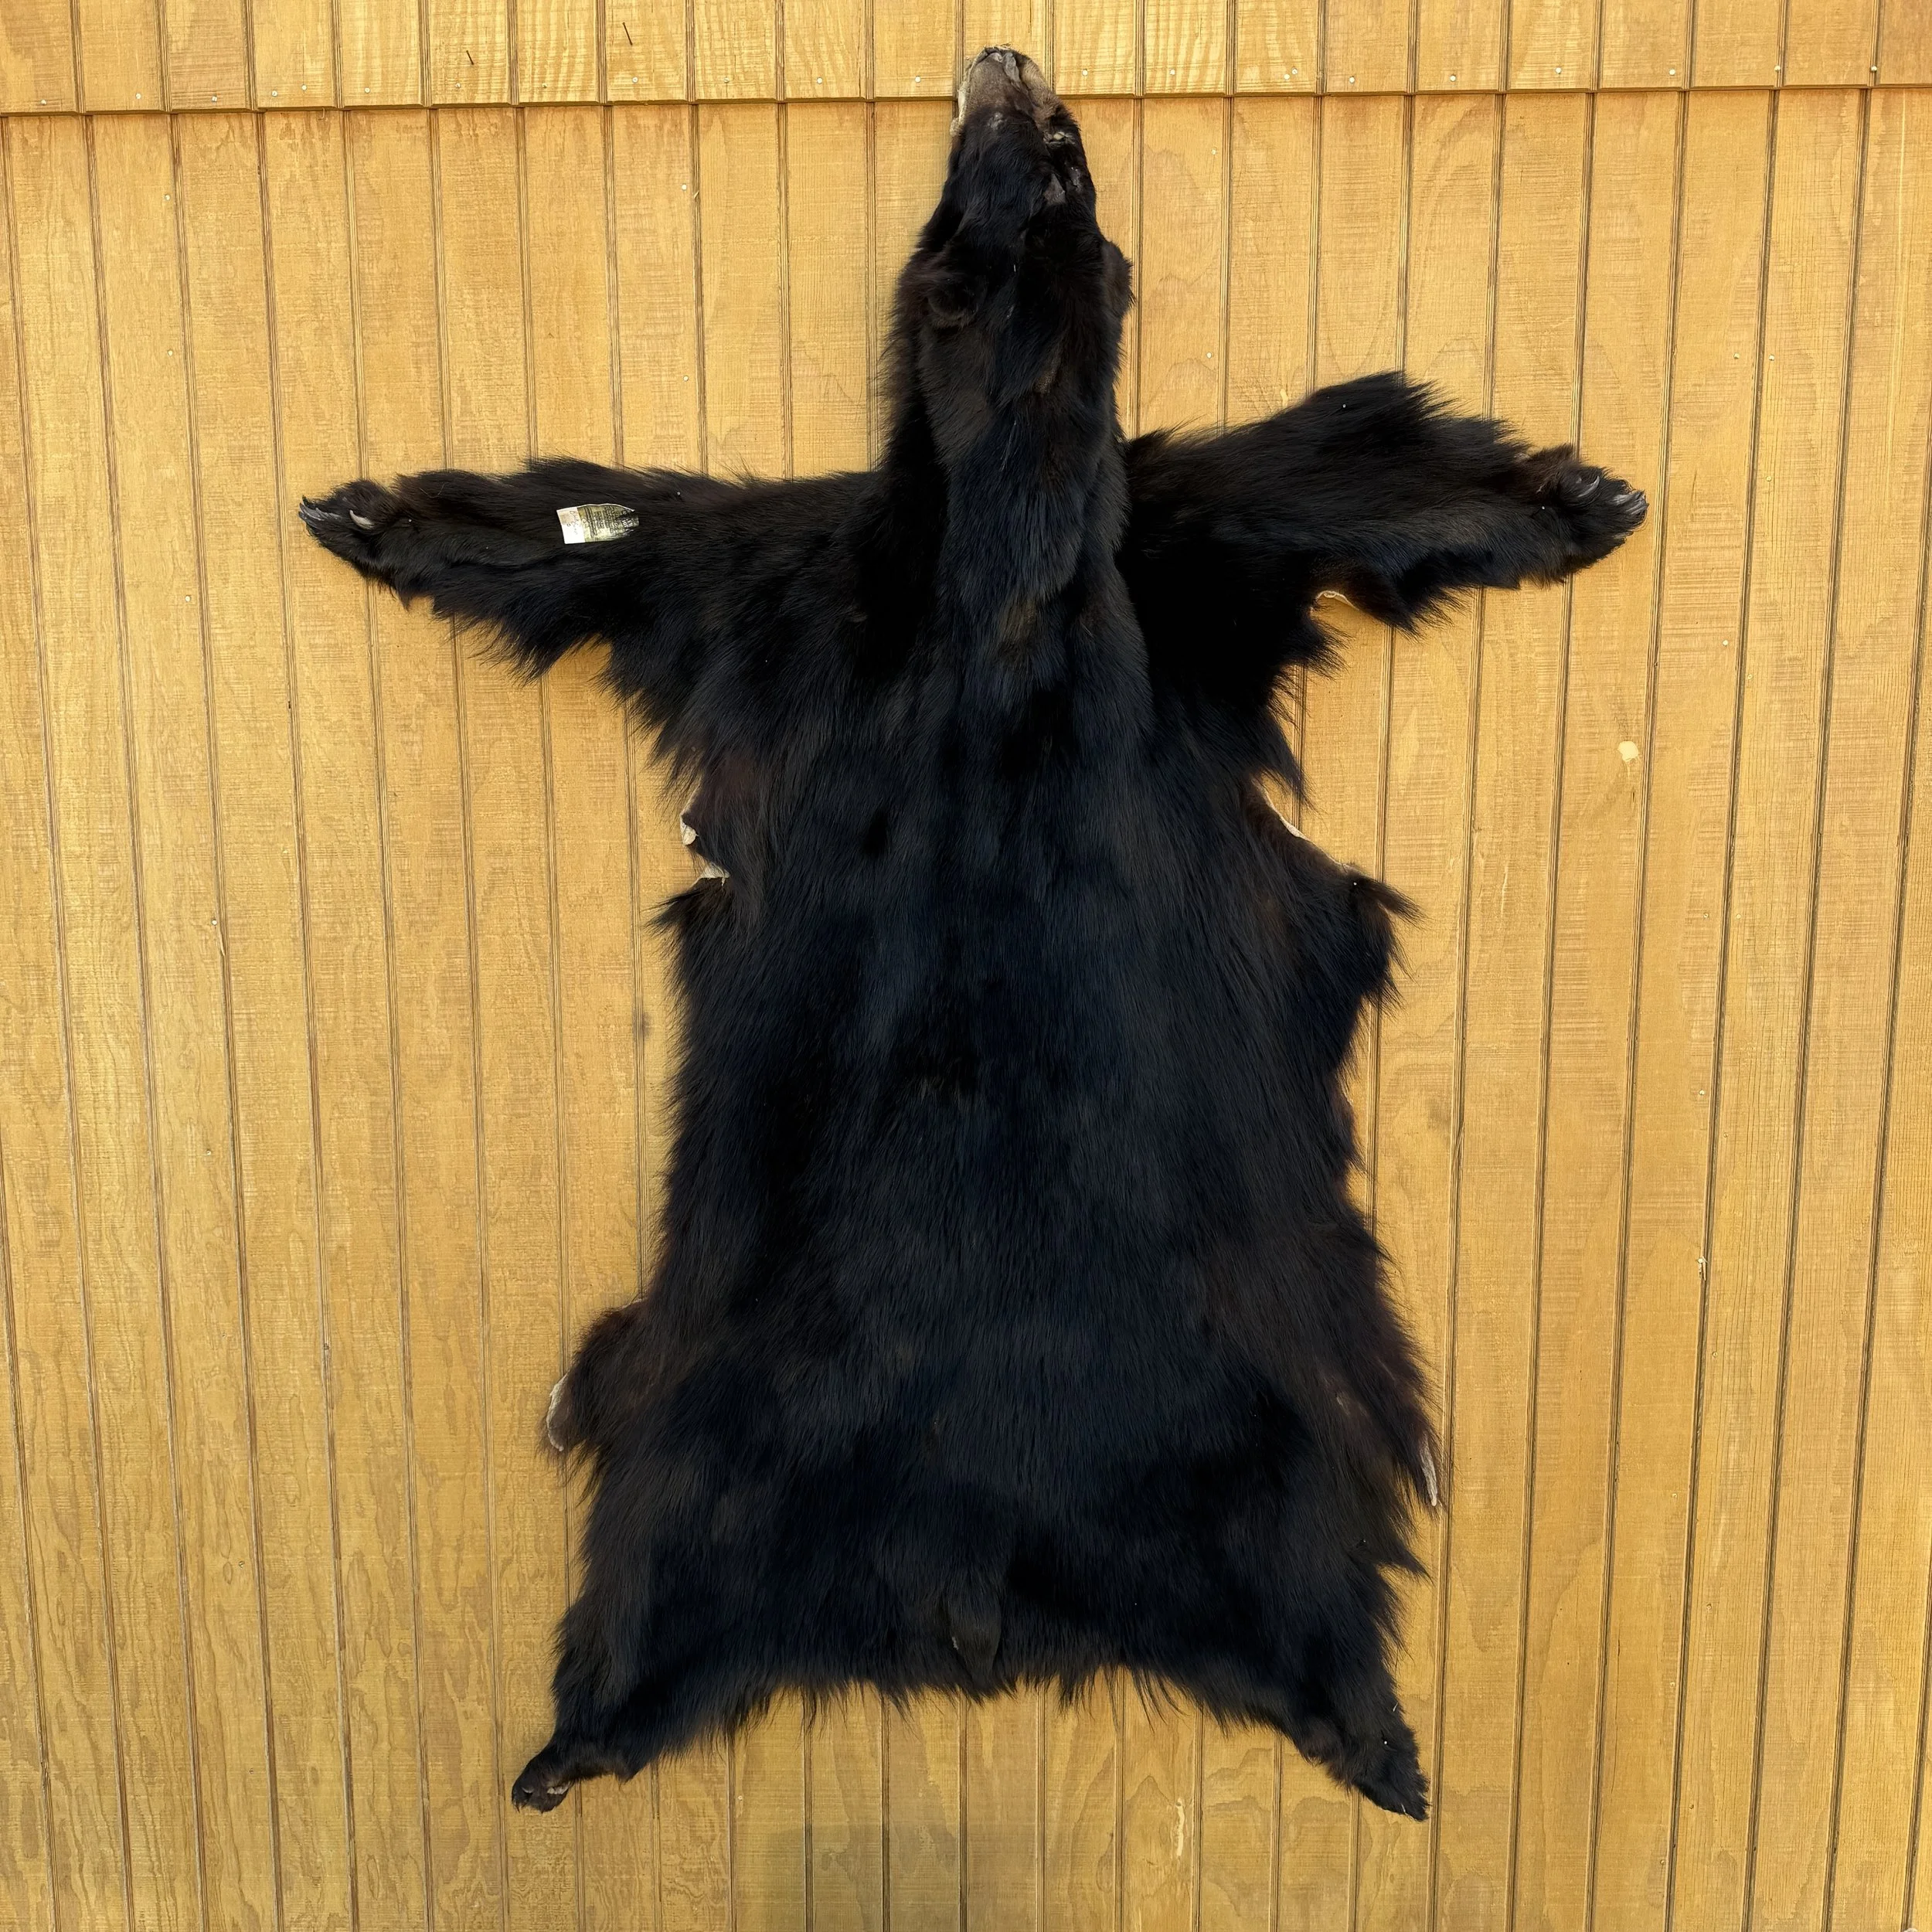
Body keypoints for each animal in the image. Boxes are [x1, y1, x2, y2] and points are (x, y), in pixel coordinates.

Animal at [301, 46, 1645, 1822]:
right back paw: (573, 1736)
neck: (1001, 579)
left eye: (1062, 162)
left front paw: (1576, 491)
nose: (1009, 67)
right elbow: (634, 535)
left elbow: (1297, 475)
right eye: (1011, 170)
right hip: (708, 1433)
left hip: (1263, 1434)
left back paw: (1375, 1740)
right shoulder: (824, 589)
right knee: (657, 1564)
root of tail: (978, 1595)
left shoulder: (1109, 562)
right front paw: (378, 512)